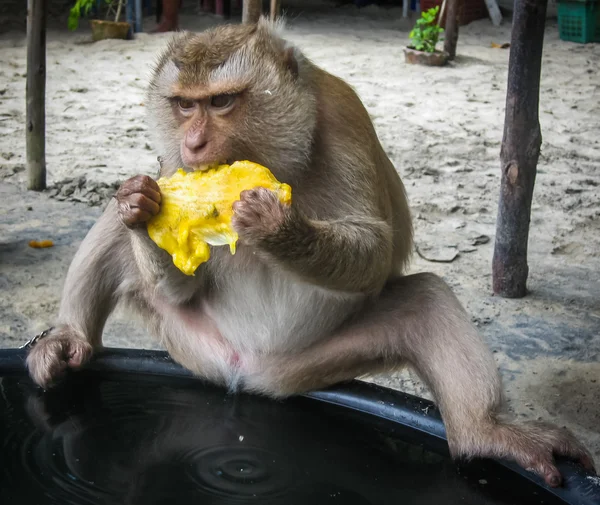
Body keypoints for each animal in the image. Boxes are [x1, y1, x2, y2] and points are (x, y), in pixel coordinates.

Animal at [25, 17, 592, 486]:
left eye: (221, 102)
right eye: (184, 105)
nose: (194, 144)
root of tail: (244, 371)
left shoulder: (342, 117)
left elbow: (374, 246)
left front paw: (275, 225)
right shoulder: (170, 166)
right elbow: (177, 273)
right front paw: (140, 209)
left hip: (316, 363)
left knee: (427, 299)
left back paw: (485, 432)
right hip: (190, 342)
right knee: (116, 238)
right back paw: (72, 336)